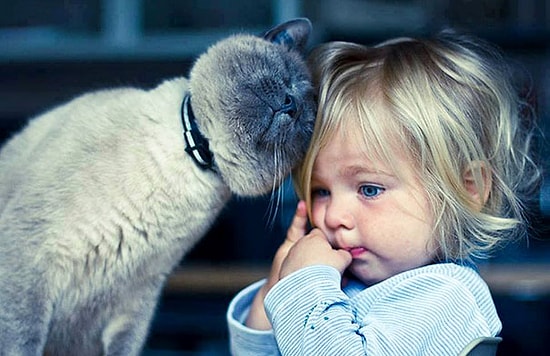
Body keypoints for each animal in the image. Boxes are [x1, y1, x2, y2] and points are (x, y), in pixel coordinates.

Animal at [0, 18, 316, 354]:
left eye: (306, 121)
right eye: (285, 76)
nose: (291, 104)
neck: (190, 158)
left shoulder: (138, 298)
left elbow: (125, 347)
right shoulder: (29, 262)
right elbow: (21, 341)